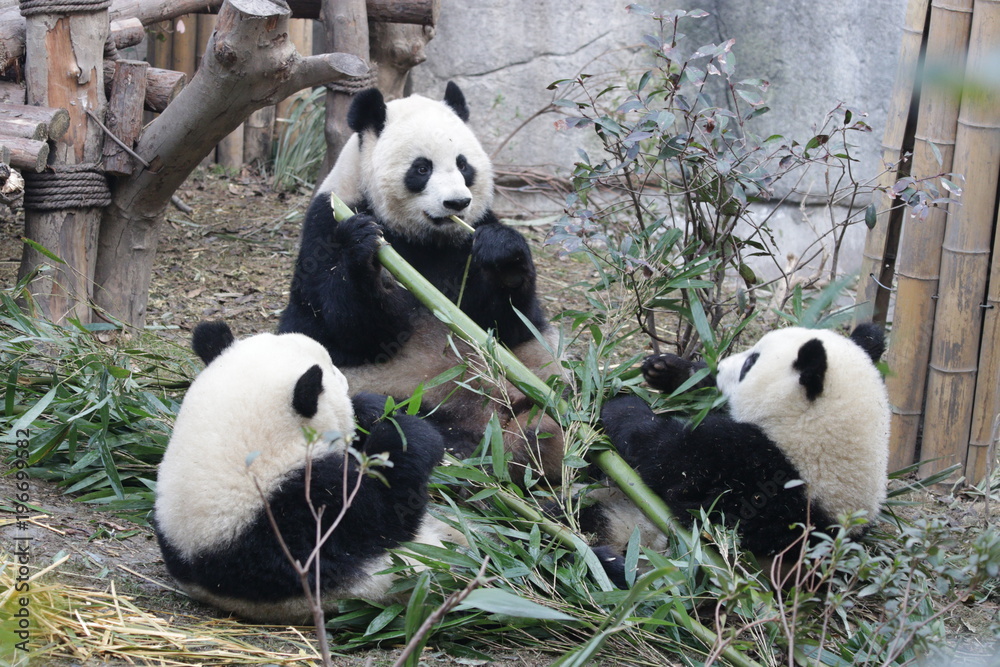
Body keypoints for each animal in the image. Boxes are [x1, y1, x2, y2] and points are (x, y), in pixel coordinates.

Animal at [153, 321, 463, 623]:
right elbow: (390, 509)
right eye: (332, 369)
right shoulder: (300, 515)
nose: (345, 378)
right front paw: (409, 434)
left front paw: (372, 411)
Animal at [278, 82, 565, 483]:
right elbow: (346, 328)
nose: (457, 203)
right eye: (422, 167)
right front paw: (364, 251)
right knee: (378, 413)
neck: (425, 237)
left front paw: (503, 254)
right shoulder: (326, 226)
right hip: (396, 392)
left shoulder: (466, 243)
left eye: (463, 164)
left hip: (543, 379)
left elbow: (510, 323)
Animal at [584, 323, 890, 585]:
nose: (719, 367)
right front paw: (670, 370)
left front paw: (620, 406)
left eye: (748, 364)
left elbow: (665, 459)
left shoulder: (758, 476)